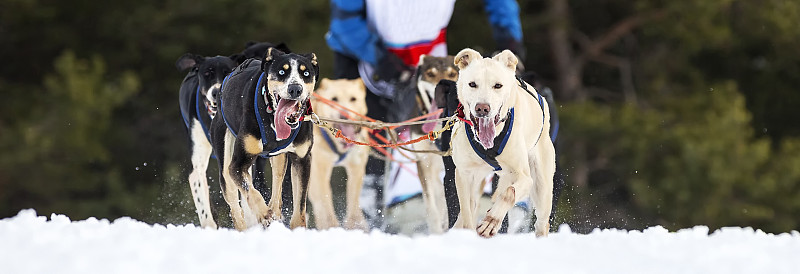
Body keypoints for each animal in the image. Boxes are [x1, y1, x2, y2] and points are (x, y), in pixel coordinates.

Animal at [212, 47, 318, 229]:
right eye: (282, 72)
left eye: (305, 73)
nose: (295, 89)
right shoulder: (237, 165)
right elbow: (251, 191)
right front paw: (263, 213)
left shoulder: (302, 159)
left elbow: (300, 205)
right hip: (225, 165)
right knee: (236, 209)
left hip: (279, 159)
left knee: (277, 183)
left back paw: (274, 210)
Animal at [450, 48, 556, 238]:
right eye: (472, 84)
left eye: (497, 85)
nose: (482, 108)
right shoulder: (464, 174)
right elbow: (467, 211)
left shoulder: (524, 177)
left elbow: (508, 194)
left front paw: (491, 222)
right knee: (470, 208)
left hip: (542, 186)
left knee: (541, 223)